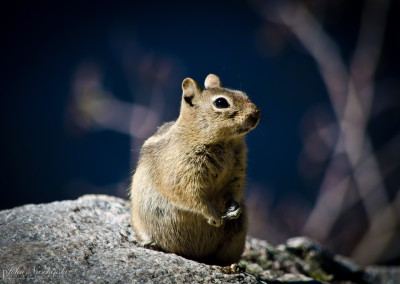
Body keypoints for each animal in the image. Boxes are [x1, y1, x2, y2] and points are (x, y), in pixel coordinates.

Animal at [130, 74, 258, 266]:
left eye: (243, 94)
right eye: (221, 102)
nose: (256, 113)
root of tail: (193, 255)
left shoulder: (237, 173)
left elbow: (234, 191)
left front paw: (235, 208)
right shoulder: (182, 174)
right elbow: (191, 196)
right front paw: (213, 216)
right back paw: (150, 244)